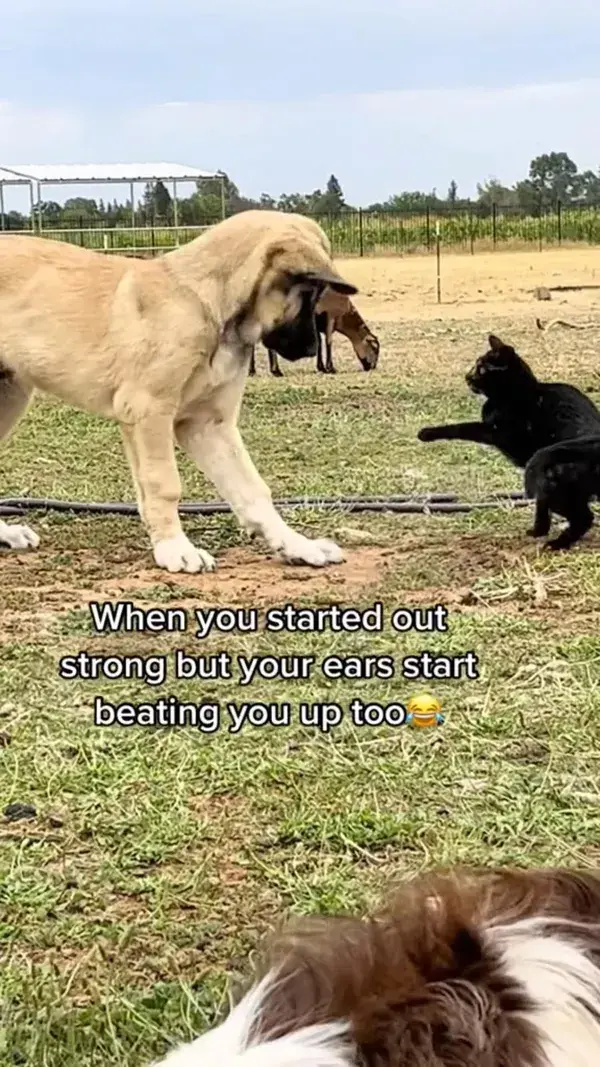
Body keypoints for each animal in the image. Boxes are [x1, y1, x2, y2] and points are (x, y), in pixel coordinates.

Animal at [0, 210, 354, 576]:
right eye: (309, 295)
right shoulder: (148, 411)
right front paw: (175, 548)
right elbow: (164, 485)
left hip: (10, 397)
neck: (205, 304)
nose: (312, 348)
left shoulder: (207, 425)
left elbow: (251, 489)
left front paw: (297, 544)